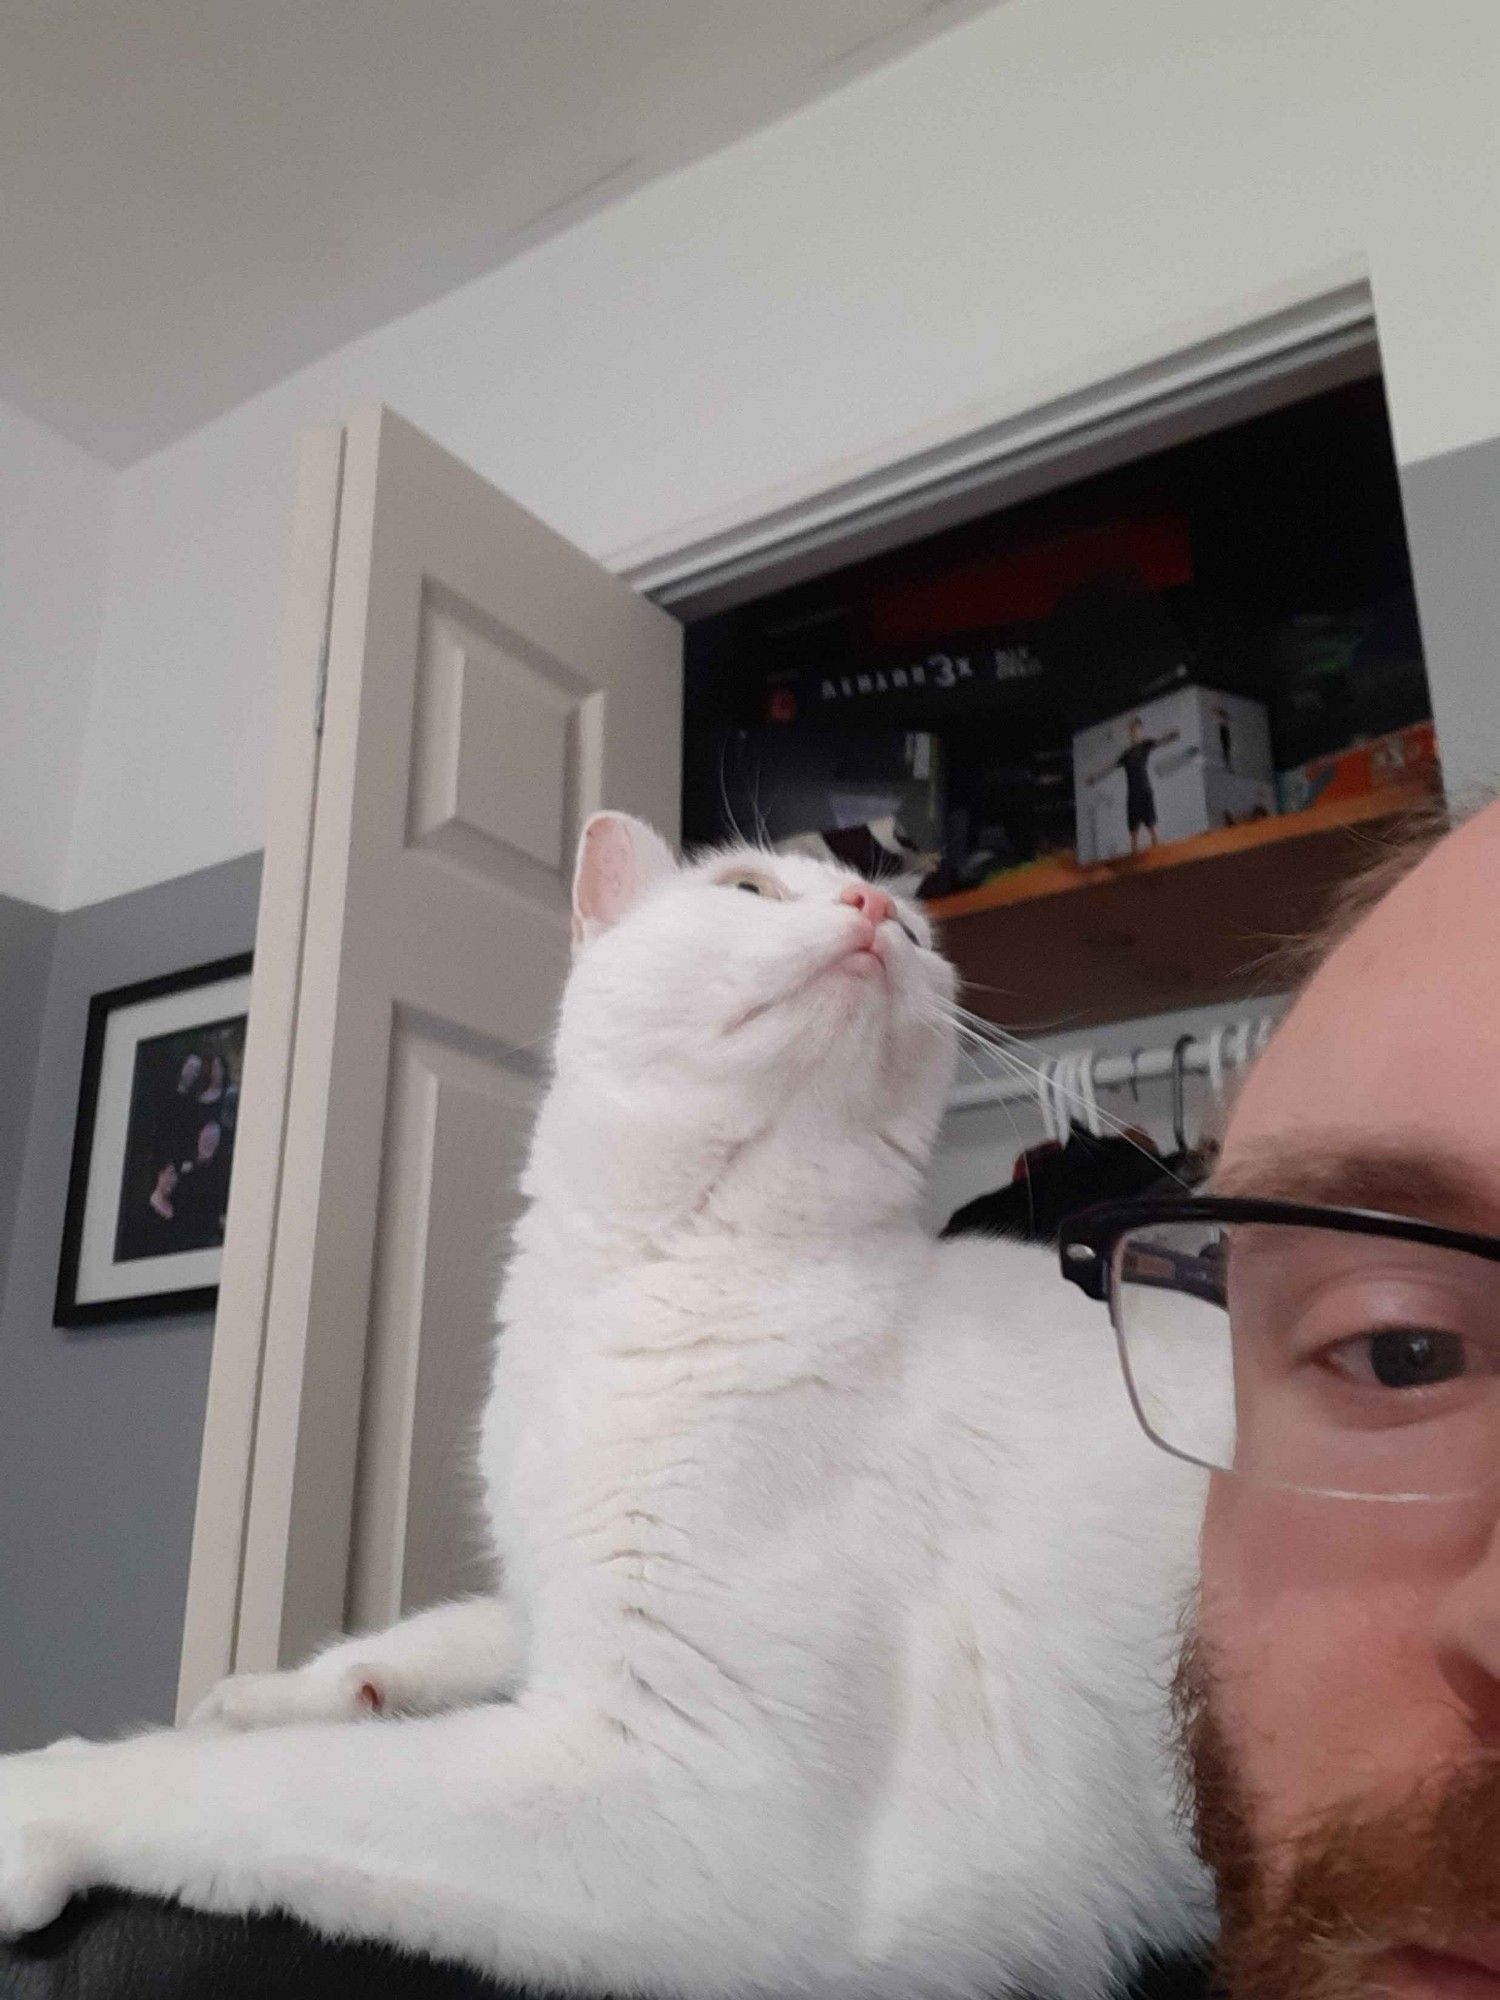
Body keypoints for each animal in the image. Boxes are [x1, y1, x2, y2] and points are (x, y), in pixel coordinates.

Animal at [0, 816, 1216, 2000]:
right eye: (747, 891)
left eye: (917, 935)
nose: (873, 903)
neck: (655, 1269)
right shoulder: (556, 1588)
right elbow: (452, 1627)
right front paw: (292, 1687)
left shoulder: (683, 1780)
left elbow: (266, 1782)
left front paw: (48, 1790)